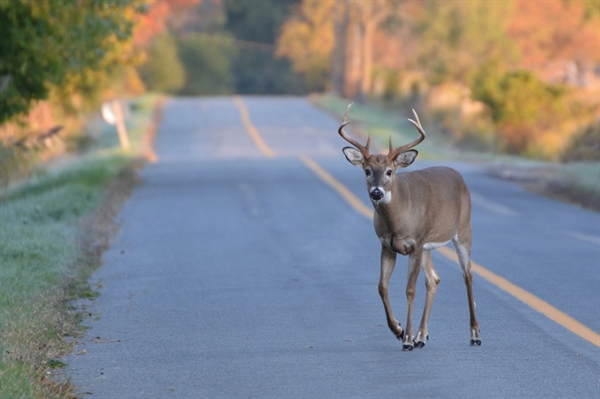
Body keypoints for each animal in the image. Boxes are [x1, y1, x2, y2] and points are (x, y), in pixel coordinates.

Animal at [340, 104, 480, 352]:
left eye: (389, 171)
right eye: (367, 171)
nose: (376, 192)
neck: (397, 221)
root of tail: (458, 175)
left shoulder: (415, 242)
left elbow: (410, 290)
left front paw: (406, 339)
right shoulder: (388, 245)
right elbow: (382, 287)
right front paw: (399, 330)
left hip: (463, 230)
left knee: (468, 275)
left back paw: (474, 335)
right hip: (428, 246)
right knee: (433, 279)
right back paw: (422, 336)